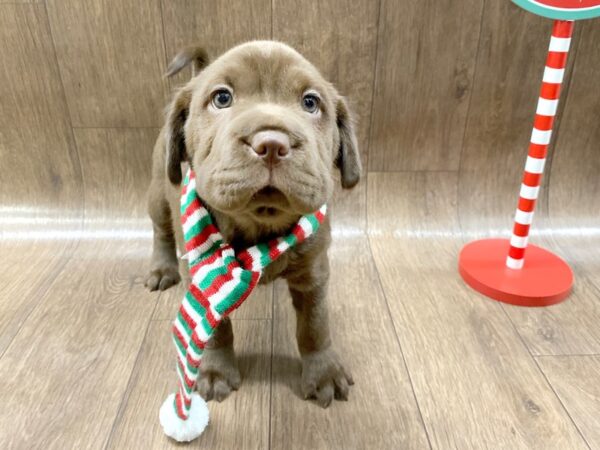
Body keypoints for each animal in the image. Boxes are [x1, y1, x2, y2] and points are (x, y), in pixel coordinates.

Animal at [146, 42, 360, 408]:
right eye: (221, 98)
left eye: (310, 103)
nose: (272, 143)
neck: (259, 224)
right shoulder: (205, 273)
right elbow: (214, 329)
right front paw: (214, 370)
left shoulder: (314, 271)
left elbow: (315, 325)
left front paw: (323, 373)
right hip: (159, 190)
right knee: (161, 231)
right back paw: (162, 269)